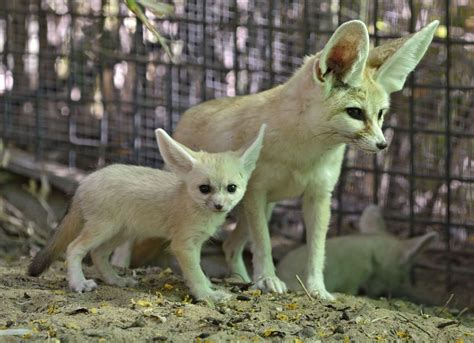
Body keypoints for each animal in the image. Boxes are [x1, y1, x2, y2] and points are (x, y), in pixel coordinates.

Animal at [27, 125, 266, 300]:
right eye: (204, 189)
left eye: (231, 188)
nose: (219, 206)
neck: (190, 202)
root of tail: (85, 181)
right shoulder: (182, 245)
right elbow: (196, 273)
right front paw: (207, 295)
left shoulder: (196, 243)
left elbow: (199, 270)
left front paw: (208, 287)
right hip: (103, 229)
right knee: (74, 248)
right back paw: (78, 283)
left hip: (121, 233)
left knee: (98, 254)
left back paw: (116, 280)